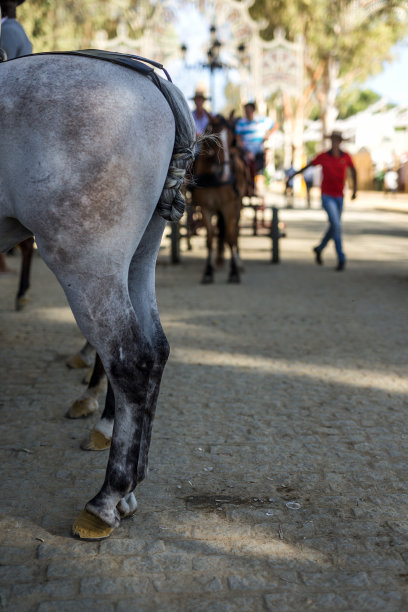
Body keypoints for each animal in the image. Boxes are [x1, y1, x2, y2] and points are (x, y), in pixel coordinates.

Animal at [0, 53, 195, 540]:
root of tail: (158, 89)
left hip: (85, 261)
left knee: (130, 360)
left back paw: (106, 497)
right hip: (138, 258)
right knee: (156, 351)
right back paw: (128, 487)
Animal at [190, 113, 249, 284]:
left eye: (232, 140)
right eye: (211, 140)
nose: (225, 173)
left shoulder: (228, 206)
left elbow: (230, 236)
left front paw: (234, 272)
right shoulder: (205, 207)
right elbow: (210, 239)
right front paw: (208, 272)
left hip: (237, 205)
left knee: (235, 232)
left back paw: (238, 262)